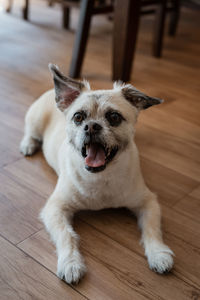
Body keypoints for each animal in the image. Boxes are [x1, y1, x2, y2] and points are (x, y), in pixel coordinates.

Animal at [19, 64, 173, 284]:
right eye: (78, 117)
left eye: (114, 117)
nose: (91, 126)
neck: (101, 177)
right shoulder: (55, 209)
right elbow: (67, 236)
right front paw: (71, 263)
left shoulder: (148, 202)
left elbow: (152, 231)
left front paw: (159, 254)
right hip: (35, 121)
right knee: (30, 133)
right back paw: (28, 145)